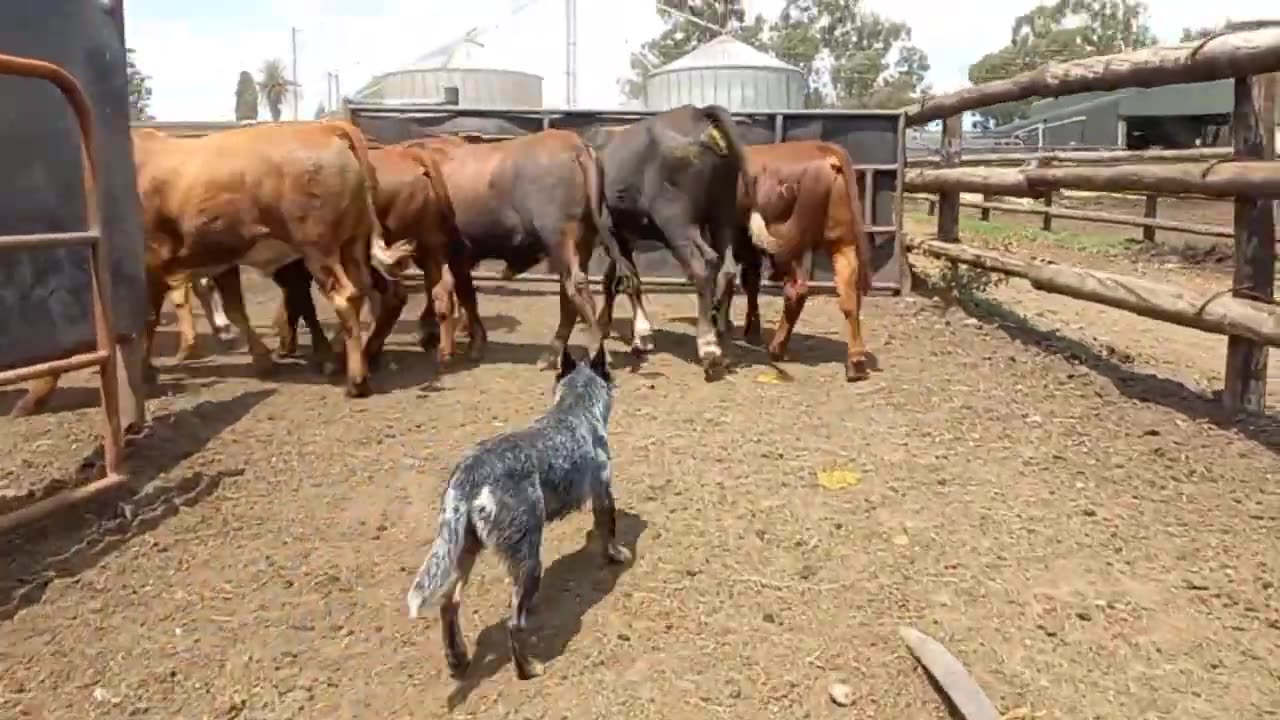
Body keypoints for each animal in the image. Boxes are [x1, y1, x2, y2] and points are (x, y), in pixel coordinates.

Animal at [11, 120, 394, 415]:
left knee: (345, 297)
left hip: (319, 249)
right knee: (364, 290)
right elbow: (234, 308)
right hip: (352, 245)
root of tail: (325, 127)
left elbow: (144, 321)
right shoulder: (215, 261)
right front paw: (261, 359)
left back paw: (355, 379)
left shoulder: (149, 263)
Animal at [404, 340, 629, 676]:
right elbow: (609, 529)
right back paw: (528, 668)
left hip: (463, 549)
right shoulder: (603, 491)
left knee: (448, 603)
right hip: (529, 560)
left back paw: (458, 657)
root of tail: (472, 473)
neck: (575, 409)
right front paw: (616, 555)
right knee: (513, 625)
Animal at [721, 136, 870, 379]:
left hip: (789, 244)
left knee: (796, 291)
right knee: (849, 296)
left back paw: (777, 348)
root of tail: (822, 149)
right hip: (841, 241)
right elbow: (747, 282)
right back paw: (855, 361)